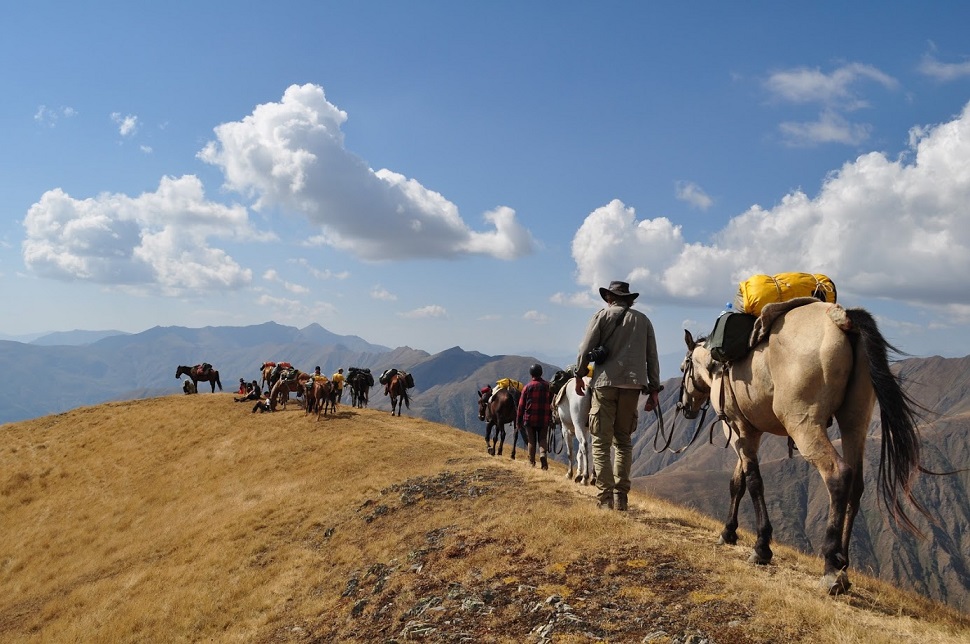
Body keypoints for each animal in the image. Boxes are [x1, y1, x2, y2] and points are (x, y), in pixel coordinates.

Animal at [676, 300, 928, 596]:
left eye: (683, 368)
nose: (684, 407)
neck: (718, 366)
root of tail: (840, 318)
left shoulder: (737, 429)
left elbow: (753, 482)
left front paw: (761, 546)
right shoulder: (749, 433)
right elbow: (738, 482)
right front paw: (728, 532)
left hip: (804, 425)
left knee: (838, 474)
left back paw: (831, 566)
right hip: (854, 423)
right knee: (855, 484)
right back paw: (843, 562)